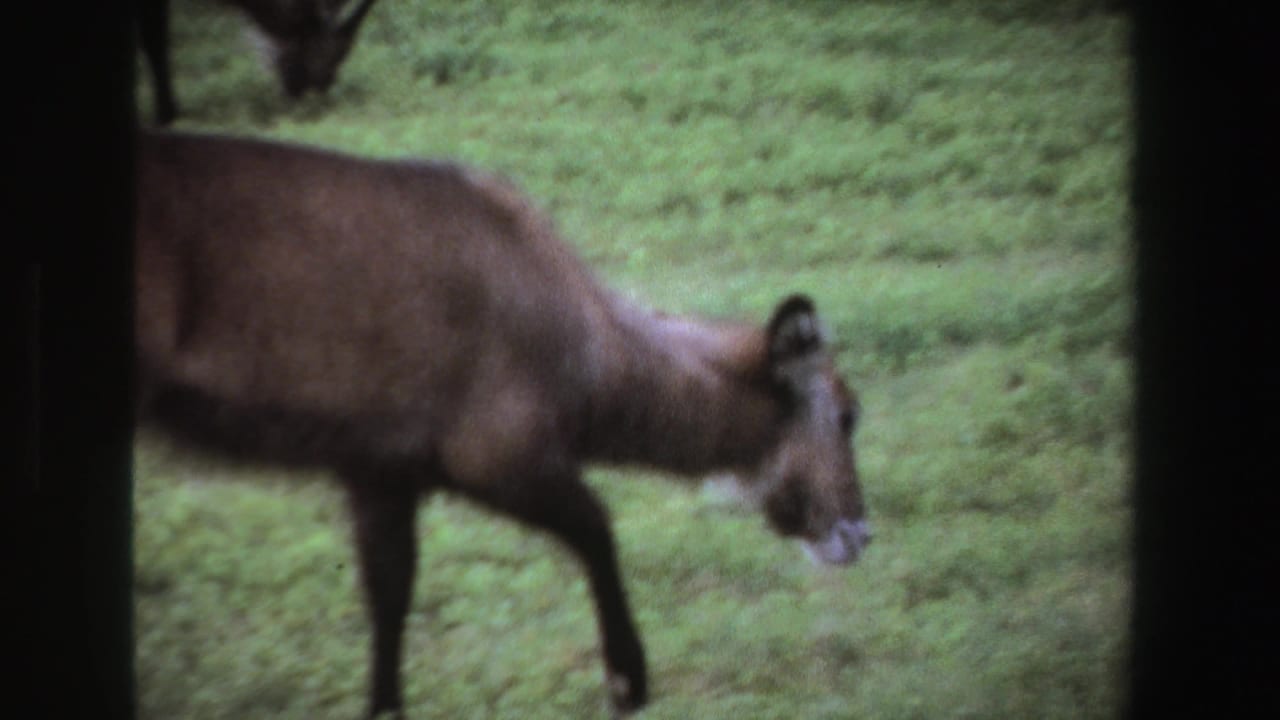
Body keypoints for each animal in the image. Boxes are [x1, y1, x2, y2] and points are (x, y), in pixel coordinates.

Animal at [135, 129, 872, 718]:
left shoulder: (379, 471)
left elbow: (389, 596)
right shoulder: (496, 454)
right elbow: (598, 529)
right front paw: (629, 680)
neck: (587, 346)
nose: (859, 532)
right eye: (846, 414)